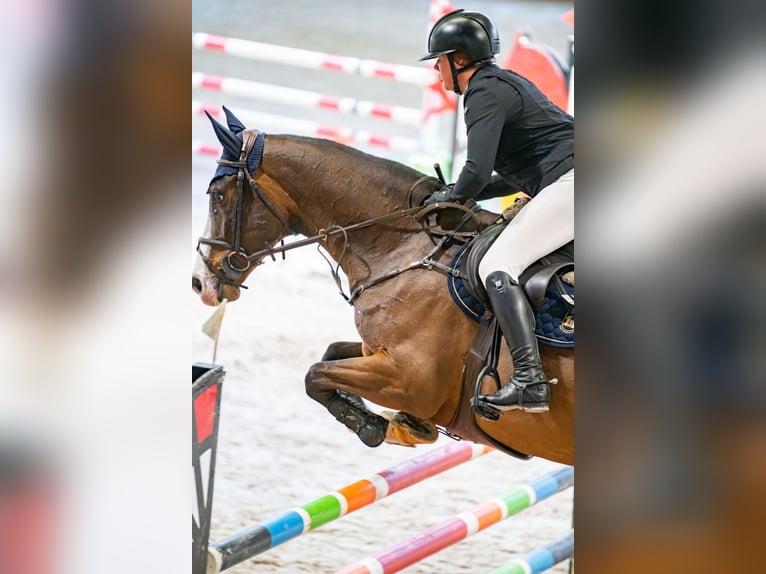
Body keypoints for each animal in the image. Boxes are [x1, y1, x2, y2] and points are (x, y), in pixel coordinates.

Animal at [192, 109, 574, 465]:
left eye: (217, 196)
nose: (199, 283)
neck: (405, 245)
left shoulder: (409, 380)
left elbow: (315, 374)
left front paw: (372, 426)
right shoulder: (377, 354)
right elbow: (329, 354)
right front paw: (404, 425)